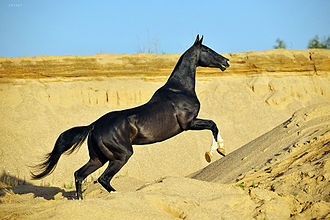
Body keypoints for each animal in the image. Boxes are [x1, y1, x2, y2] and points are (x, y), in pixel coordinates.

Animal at [31, 34, 229, 199]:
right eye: (207, 50)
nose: (226, 61)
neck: (179, 90)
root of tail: (94, 125)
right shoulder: (189, 124)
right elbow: (213, 124)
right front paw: (215, 152)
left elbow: (214, 125)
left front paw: (219, 151)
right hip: (122, 155)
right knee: (103, 179)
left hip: (98, 158)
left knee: (79, 174)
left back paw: (81, 200)